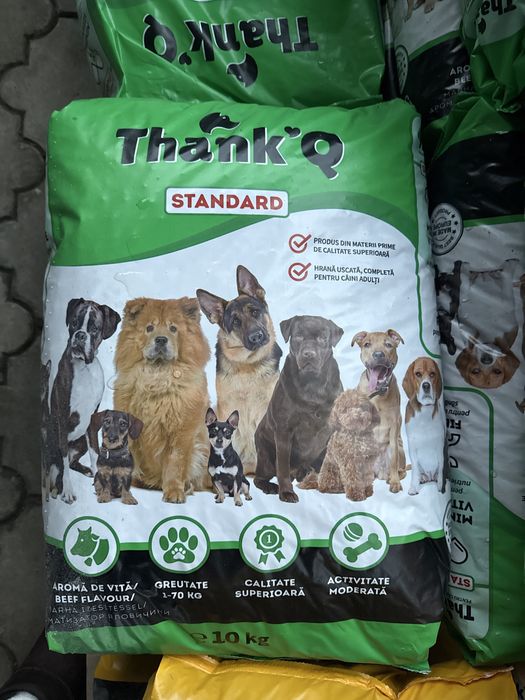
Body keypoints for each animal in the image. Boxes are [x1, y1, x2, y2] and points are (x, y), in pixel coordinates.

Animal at [47, 298, 121, 503]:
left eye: (94, 328)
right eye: (73, 322)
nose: (80, 335)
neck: (84, 369)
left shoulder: (92, 420)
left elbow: (95, 453)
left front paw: (99, 480)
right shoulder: (63, 418)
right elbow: (64, 460)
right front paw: (68, 490)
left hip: (80, 441)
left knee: (72, 461)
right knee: (60, 464)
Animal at [113, 297, 210, 504]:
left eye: (173, 329)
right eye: (150, 328)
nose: (161, 339)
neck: (157, 377)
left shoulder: (181, 431)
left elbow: (175, 463)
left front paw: (174, 493)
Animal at [254, 315, 343, 503]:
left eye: (323, 338)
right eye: (299, 336)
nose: (309, 354)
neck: (313, 385)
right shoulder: (283, 431)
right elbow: (282, 467)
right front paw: (286, 492)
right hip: (265, 454)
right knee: (259, 477)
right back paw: (271, 486)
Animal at [351, 329, 406, 493]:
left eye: (388, 345)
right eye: (367, 344)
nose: (378, 355)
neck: (377, 394)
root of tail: (378, 473)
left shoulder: (394, 424)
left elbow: (394, 459)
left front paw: (395, 482)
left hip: (400, 449)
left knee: (402, 469)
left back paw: (392, 478)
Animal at [402, 357, 446, 495]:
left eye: (432, 374)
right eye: (418, 374)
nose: (426, 385)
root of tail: (430, 476)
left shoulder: (439, 444)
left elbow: (441, 468)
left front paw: (441, 486)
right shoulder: (412, 445)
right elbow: (415, 470)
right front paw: (413, 487)